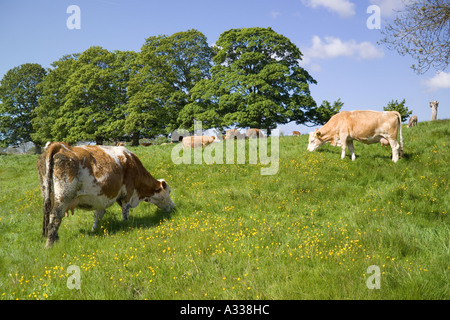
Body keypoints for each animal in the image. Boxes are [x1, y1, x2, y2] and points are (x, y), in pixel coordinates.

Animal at [37, 142, 175, 248]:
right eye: (169, 192)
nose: (173, 207)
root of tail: (59, 145)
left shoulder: (100, 198)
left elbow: (98, 215)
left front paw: (94, 230)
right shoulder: (128, 192)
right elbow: (125, 211)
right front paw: (126, 225)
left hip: (48, 194)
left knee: (47, 214)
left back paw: (55, 238)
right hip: (63, 197)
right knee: (55, 217)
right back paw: (49, 245)